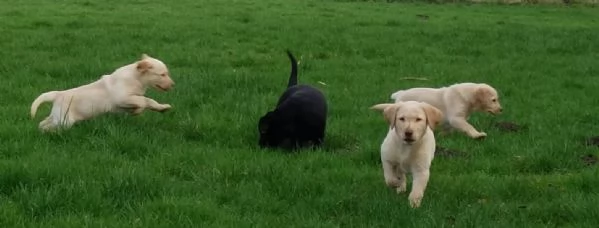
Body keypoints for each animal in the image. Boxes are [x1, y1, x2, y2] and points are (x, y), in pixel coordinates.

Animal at [30, 53, 175, 132]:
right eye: (162, 74)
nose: (173, 85)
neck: (135, 78)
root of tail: (57, 94)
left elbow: (149, 101)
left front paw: (163, 108)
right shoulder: (122, 98)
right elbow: (143, 101)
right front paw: (137, 111)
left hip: (58, 117)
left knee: (43, 123)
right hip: (65, 120)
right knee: (49, 126)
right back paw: (48, 133)